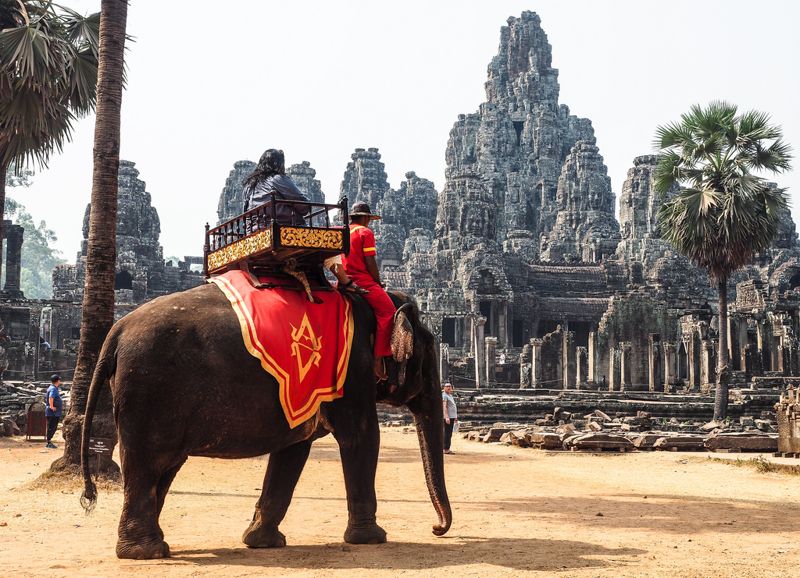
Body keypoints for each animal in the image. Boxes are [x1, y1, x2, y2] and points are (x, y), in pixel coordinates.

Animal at [79, 282, 451, 559]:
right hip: (147, 392)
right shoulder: (351, 374)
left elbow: (293, 449)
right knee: (148, 464)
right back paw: (145, 552)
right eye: (429, 348)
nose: (437, 529)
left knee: (164, 467)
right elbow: (361, 437)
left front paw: (261, 542)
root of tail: (115, 331)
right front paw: (372, 538)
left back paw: (155, 546)